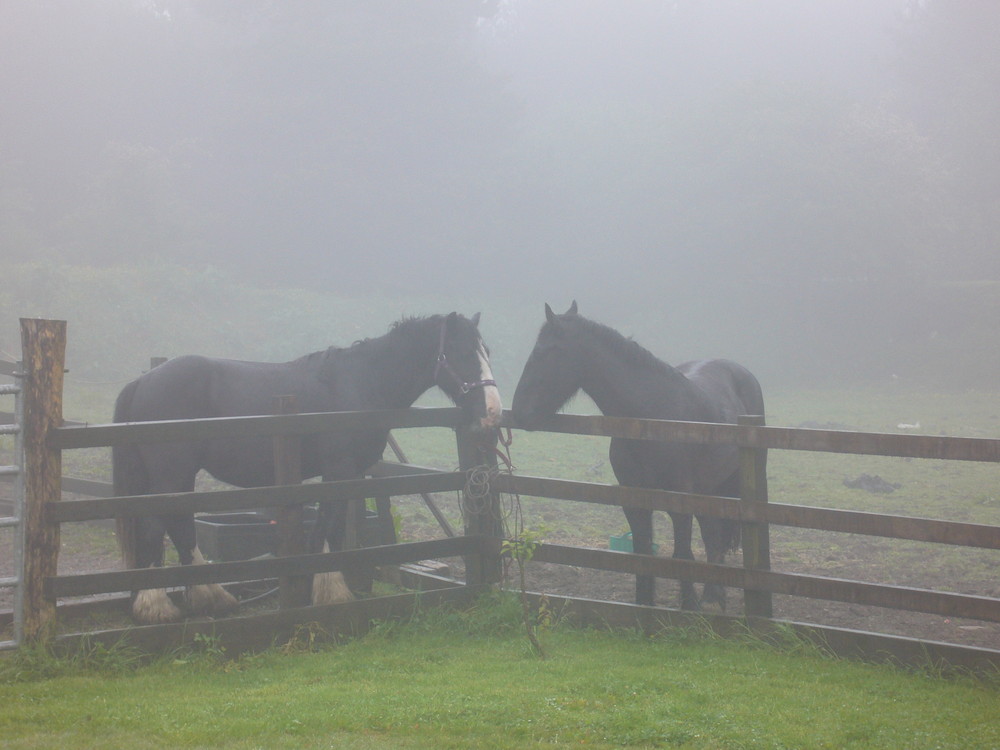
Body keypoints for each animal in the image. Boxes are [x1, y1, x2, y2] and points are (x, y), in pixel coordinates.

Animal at [111, 312, 500, 624]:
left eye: (486, 351)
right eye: (463, 351)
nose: (493, 411)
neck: (359, 383)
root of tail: (143, 380)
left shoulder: (345, 474)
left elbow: (328, 529)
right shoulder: (339, 471)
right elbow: (329, 528)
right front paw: (332, 593)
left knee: (178, 527)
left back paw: (210, 597)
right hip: (171, 475)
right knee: (156, 527)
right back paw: (157, 607)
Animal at [512, 302, 760, 612]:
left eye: (541, 352)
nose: (518, 411)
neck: (648, 418)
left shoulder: (679, 502)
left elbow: (682, 555)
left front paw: (688, 607)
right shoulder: (634, 500)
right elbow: (642, 555)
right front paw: (644, 606)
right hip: (708, 489)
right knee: (713, 537)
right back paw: (713, 596)